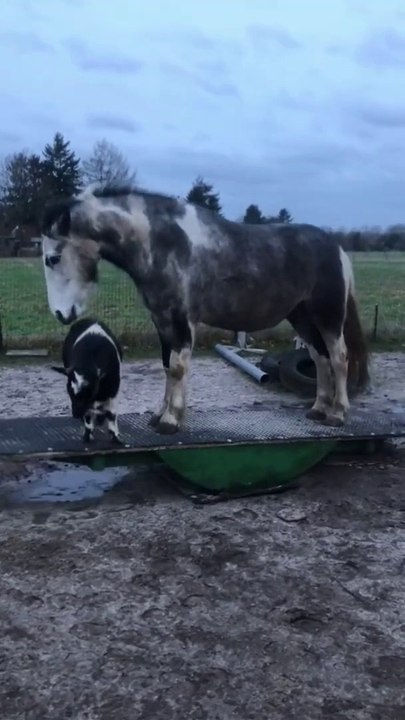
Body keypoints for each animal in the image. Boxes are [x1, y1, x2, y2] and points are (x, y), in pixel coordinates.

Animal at [40, 184, 369, 435]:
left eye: (53, 258)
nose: (60, 314)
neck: (163, 243)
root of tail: (337, 248)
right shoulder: (162, 320)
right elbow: (166, 366)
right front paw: (159, 415)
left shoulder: (183, 320)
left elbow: (178, 367)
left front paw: (171, 420)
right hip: (301, 316)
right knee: (319, 357)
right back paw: (318, 409)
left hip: (328, 315)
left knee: (339, 358)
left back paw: (337, 413)